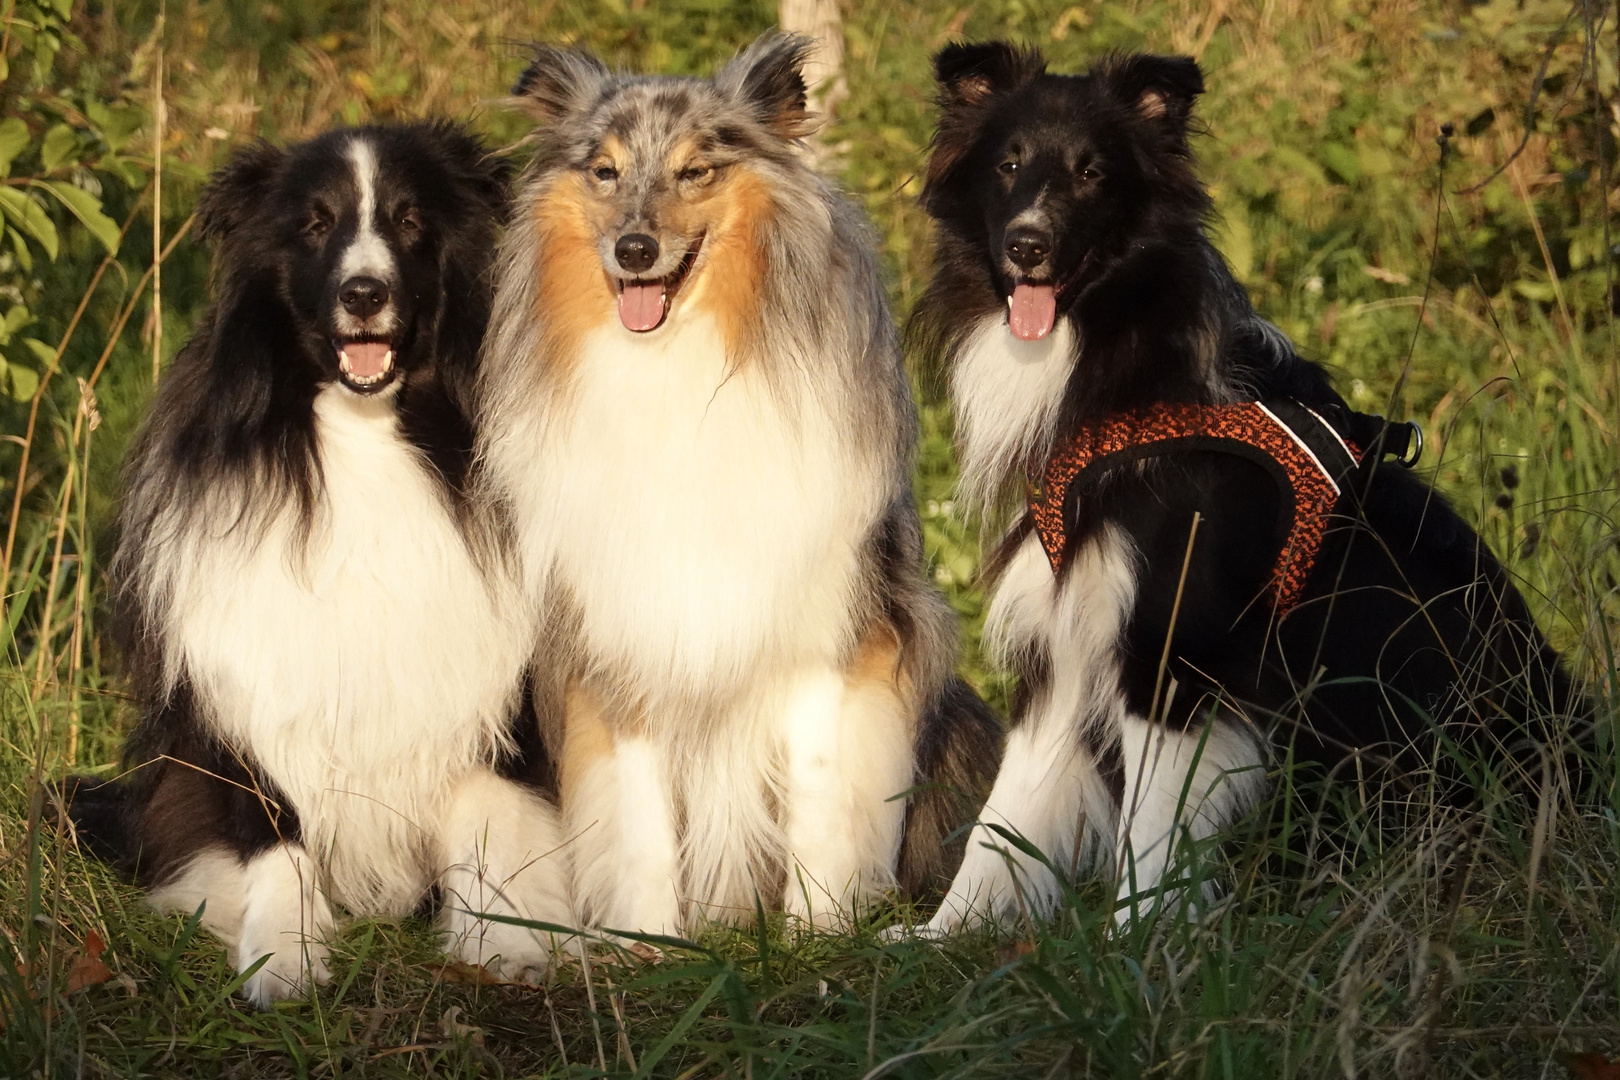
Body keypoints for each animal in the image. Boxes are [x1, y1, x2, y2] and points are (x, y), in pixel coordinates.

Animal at [63, 124, 570, 1003]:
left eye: (409, 220)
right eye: (314, 224)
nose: (364, 293)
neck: (360, 434)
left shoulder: (489, 679)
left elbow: (488, 812)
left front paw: (505, 945)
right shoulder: (246, 677)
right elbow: (274, 830)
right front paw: (283, 957)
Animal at [900, 46, 1581, 932]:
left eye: (1092, 174)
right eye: (1008, 165)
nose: (1028, 247)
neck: (1119, 359)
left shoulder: (1176, 655)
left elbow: (1152, 835)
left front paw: (1138, 944)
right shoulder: (1067, 639)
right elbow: (1004, 818)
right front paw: (938, 937)